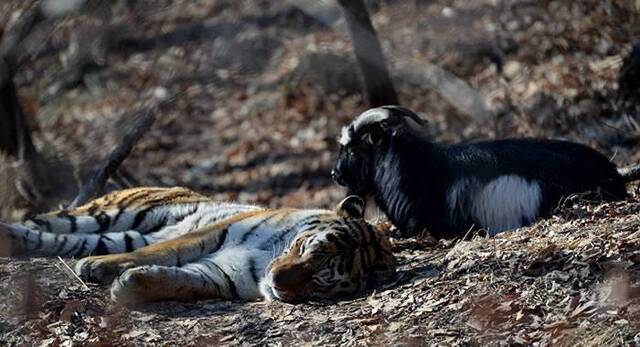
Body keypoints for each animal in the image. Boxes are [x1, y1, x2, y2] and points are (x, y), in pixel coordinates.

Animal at [0, 188, 398, 304]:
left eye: (319, 280)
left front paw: (131, 286)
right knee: (48, 223)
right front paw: (106, 270)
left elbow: (181, 280)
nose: (277, 282)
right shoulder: (213, 233)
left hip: (110, 231)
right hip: (114, 214)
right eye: (305, 250)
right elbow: (158, 253)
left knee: (59, 240)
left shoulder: (224, 274)